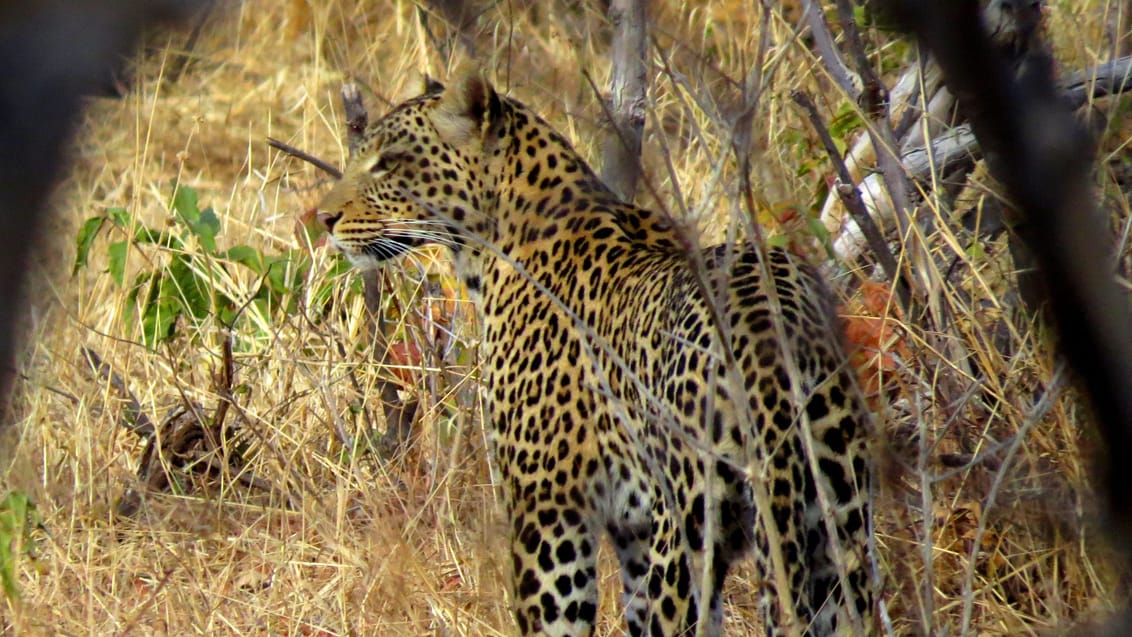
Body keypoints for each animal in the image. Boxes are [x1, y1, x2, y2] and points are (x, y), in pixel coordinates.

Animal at [314, 75, 878, 637]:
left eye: (389, 162)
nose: (324, 218)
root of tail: (766, 328)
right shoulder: (632, 534)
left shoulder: (548, 513)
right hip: (840, 528)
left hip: (689, 533)